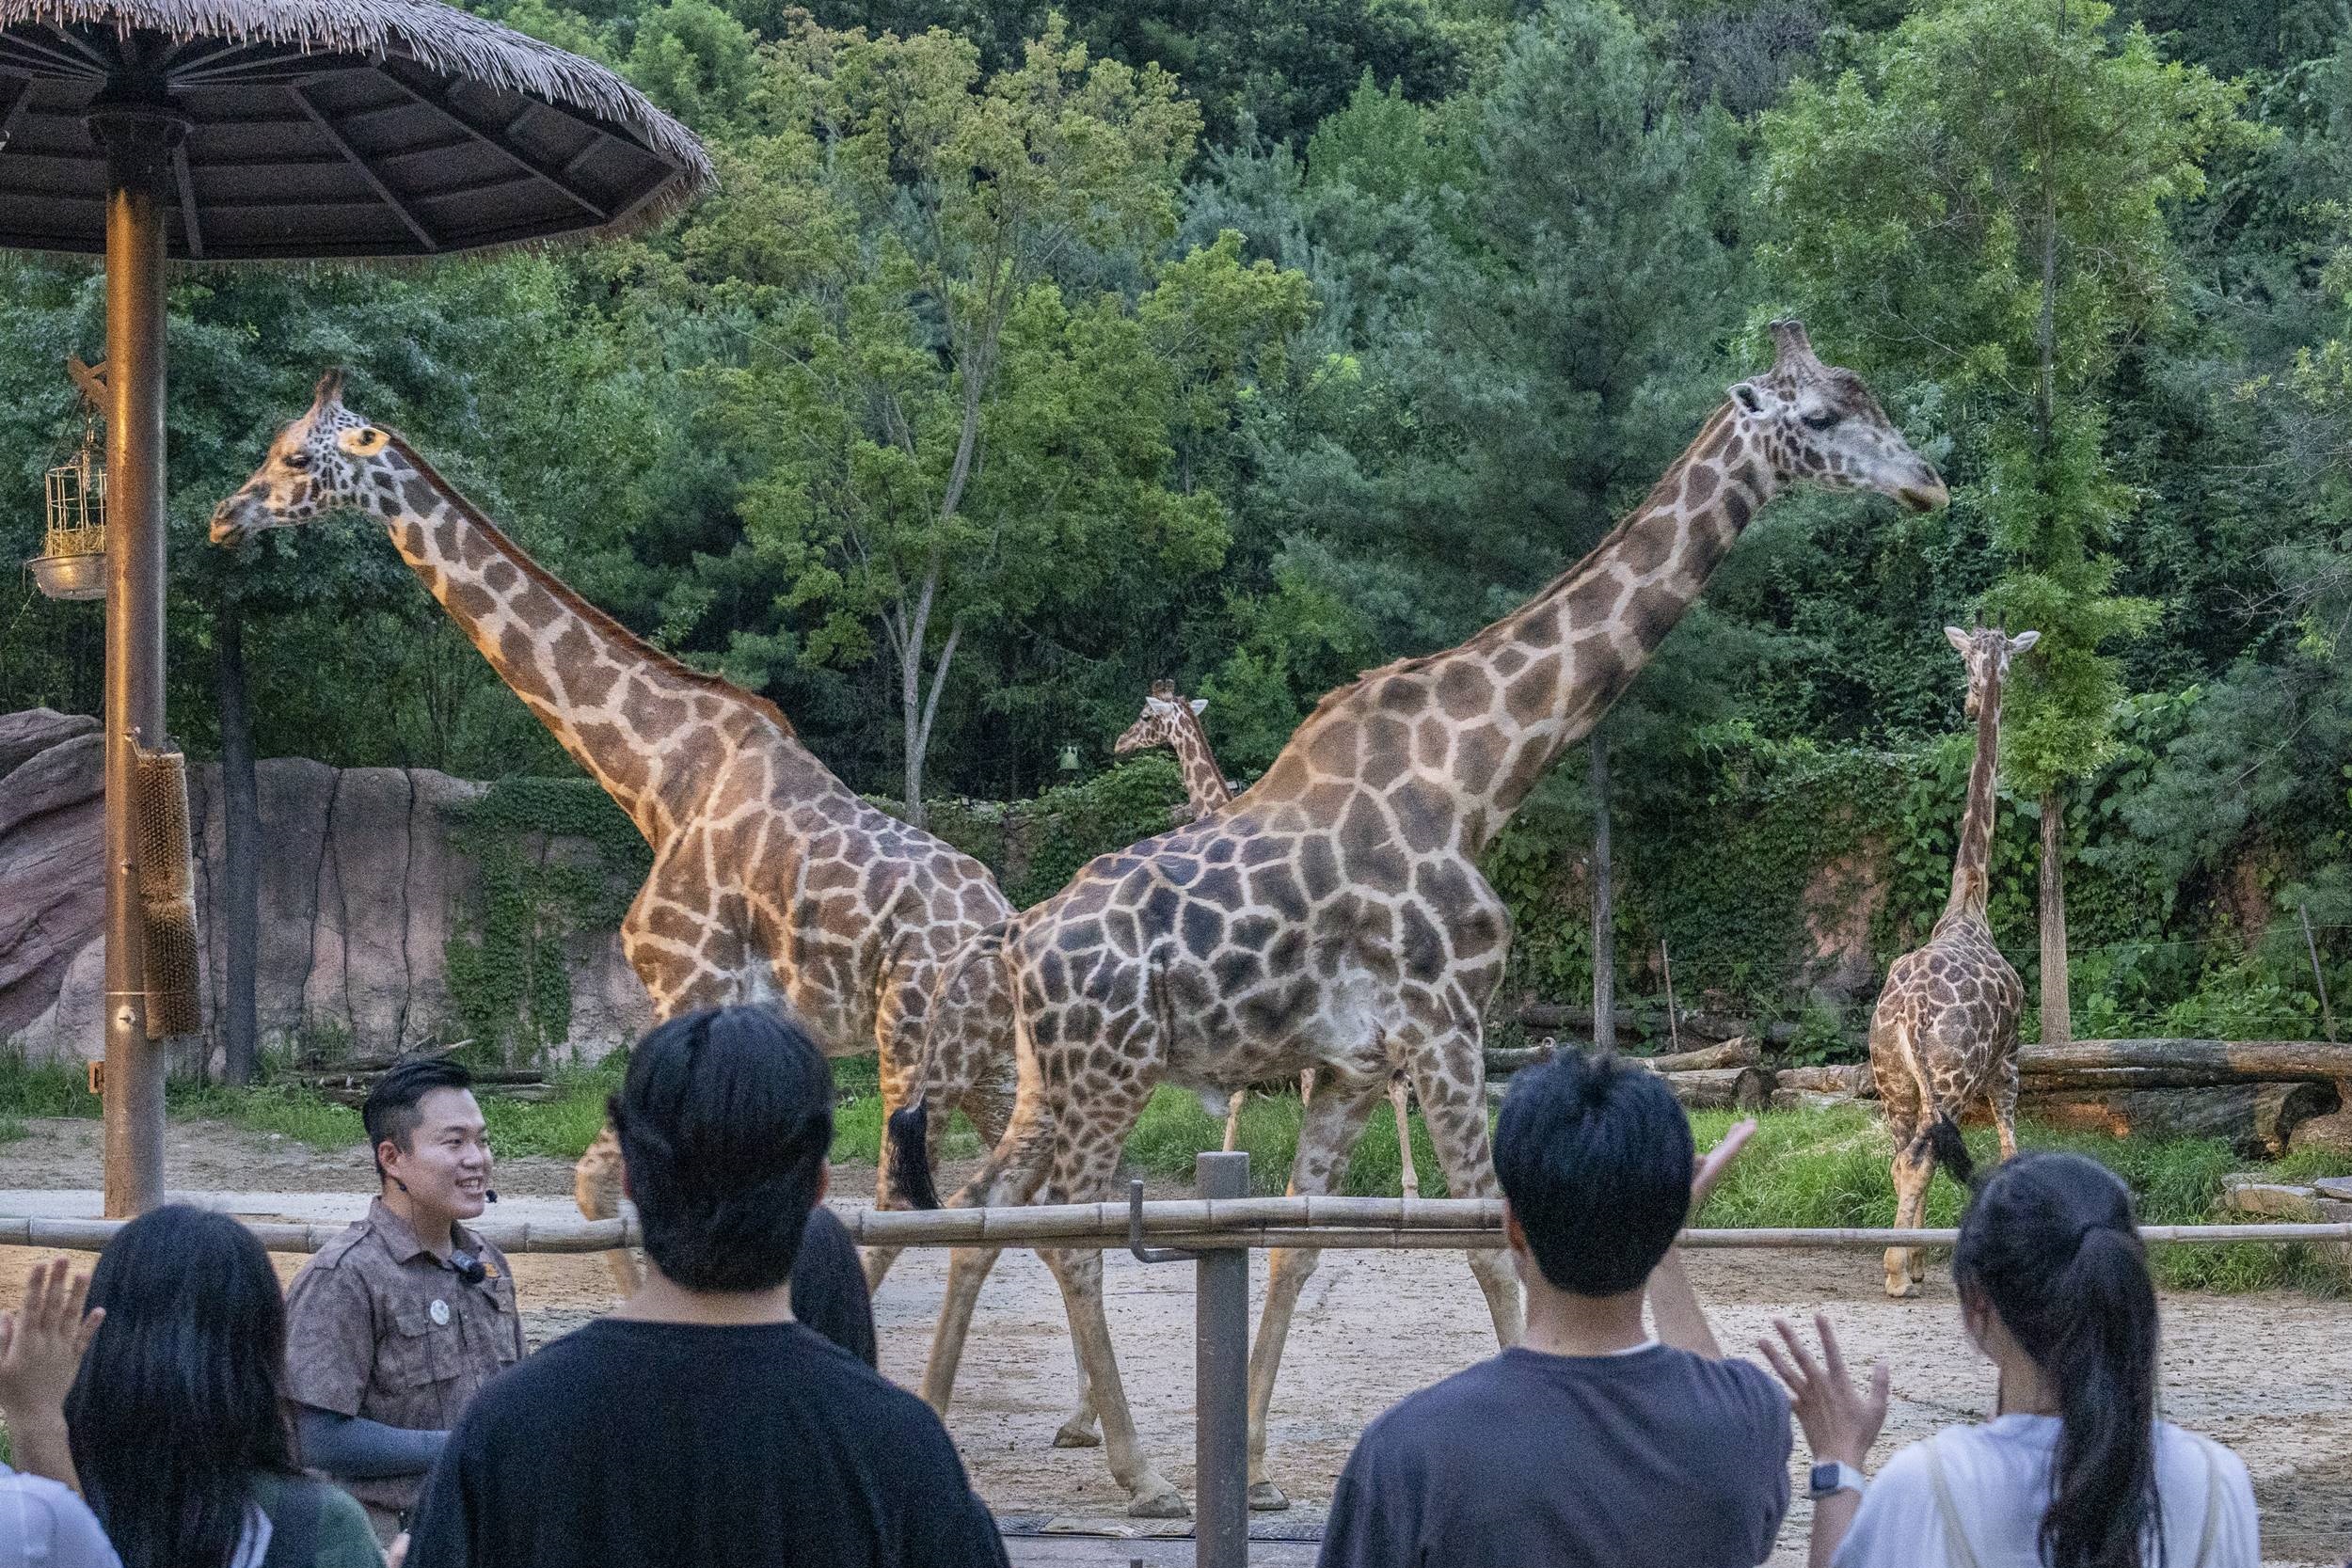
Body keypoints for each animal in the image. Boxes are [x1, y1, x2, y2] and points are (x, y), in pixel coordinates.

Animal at [204, 373, 1011, 1297]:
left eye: (297, 457)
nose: (224, 515)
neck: (659, 779)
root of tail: (1005, 922)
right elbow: (603, 1187)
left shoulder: (688, 984)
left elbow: (609, 1186)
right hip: (989, 1061)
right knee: (1017, 1198)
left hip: (911, 1042)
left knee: (912, 1201)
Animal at [1872, 625, 2042, 1297]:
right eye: (1970, 665)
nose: (1971, 705)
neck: (1971, 901)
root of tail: (1909, 1016)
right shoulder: (2008, 1062)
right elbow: (2010, 1152)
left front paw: (1922, 1261)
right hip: (1949, 1076)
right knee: (1918, 1160)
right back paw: (1896, 1274)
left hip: (1892, 1078)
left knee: (1902, 1157)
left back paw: (1905, 1263)